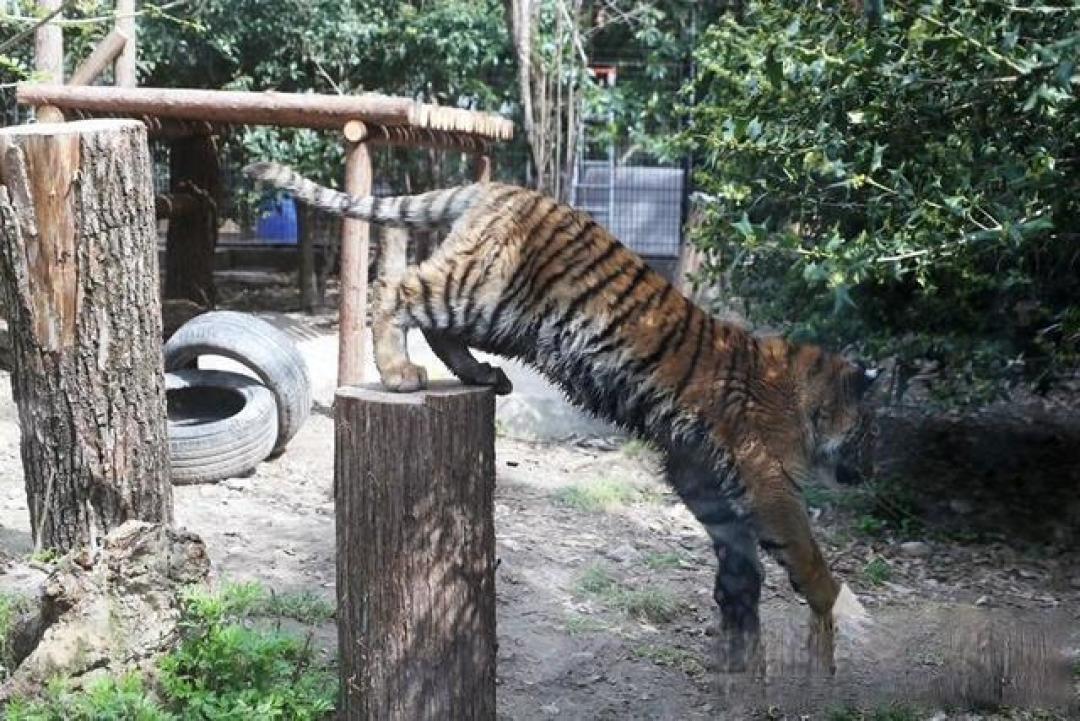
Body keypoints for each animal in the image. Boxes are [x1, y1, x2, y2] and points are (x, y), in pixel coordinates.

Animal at [244, 161, 878, 673]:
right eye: (872, 431)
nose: (871, 472)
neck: (807, 398)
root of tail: (501, 188)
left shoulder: (697, 466)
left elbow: (738, 546)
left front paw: (740, 618)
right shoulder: (767, 474)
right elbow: (802, 545)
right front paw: (831, 604)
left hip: (494, 314)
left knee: (437, 326)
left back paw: (482, 377)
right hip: (482, 289)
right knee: (393, 287)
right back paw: (401, 373)